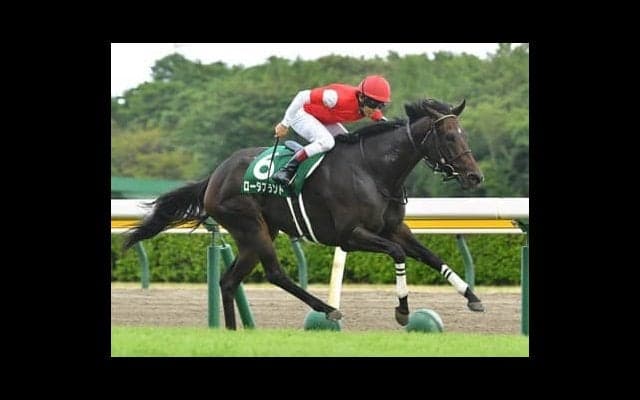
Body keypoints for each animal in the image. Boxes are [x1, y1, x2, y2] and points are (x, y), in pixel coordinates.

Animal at [123, 97, 485, 330]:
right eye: (449, 136)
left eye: (464, 134)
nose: (474, 176)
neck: (374, 171)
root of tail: (215, 175)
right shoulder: (351, 236)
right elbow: (398, 254)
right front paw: (403, 311)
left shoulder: (396, 229)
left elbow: (432, 256)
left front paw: (472, 297)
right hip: (251, 226)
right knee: (274, 274)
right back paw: (328, 309)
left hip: (256, 234)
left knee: (228, 281)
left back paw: (234, 332)